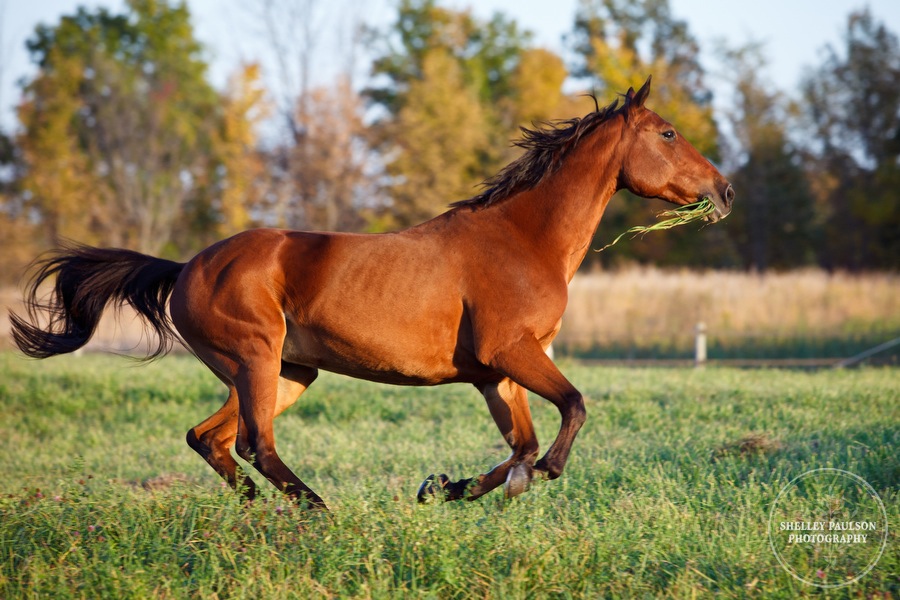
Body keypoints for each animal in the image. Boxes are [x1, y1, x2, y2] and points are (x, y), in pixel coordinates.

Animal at [10, 77, 736, 508]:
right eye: (668, 133)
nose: (724, 191)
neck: (522, 239)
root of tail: (188, 264)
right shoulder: (512, 353)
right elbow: (570, 414)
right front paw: (523, 479)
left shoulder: (496, 374)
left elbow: (520, 447)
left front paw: (444, 488)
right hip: (255, 358)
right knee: (252, 443)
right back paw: (315, 510)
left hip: (286, 371)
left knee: (210, 438)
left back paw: (259, 511)